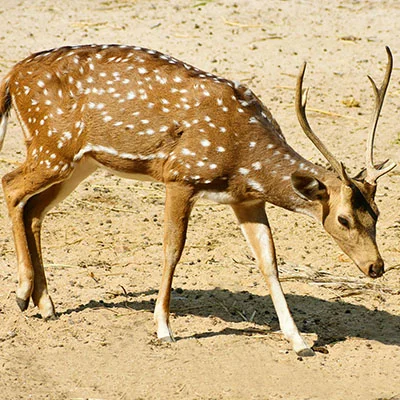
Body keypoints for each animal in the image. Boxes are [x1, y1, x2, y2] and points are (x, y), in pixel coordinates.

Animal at [0, 44, 396, 356]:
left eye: (377, 213)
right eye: (343, 218)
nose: (376, 267)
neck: (244, 157)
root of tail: (13, 75)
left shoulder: (246, 200)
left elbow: (269, 261)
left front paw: (300, 343)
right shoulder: (181, 176)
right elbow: (172, 249)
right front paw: (164, 329)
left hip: (78, 162)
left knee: (34, 209)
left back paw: (46, 304)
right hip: (52, 145)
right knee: (11, 185)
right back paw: (22, 293)